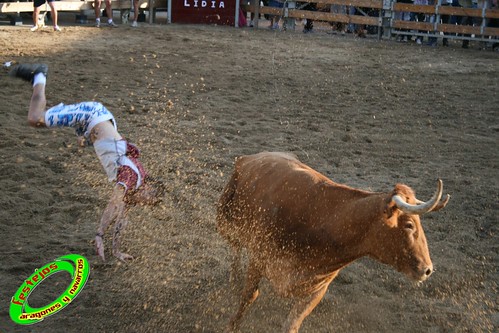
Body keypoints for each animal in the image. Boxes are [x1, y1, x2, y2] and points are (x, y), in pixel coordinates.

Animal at [217, 151, 452, 332]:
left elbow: (292, 323)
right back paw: (234, 276)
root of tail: (249, 158)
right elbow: (249, 296)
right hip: (225, 222)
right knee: (235, 247)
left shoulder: (317, 288)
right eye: (409, 225)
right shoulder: (258, 259)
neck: (321, 219)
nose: (427, 269)